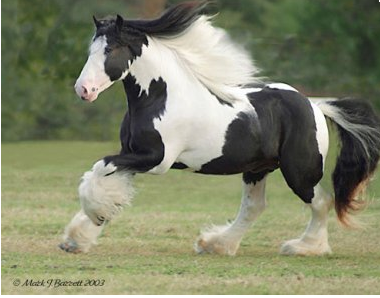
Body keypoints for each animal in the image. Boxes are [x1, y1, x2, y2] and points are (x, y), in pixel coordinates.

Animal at [58, 1, 380, 255]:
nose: (83, 90)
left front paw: (90, 221)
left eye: (111, 49)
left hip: (299, 172)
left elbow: (100, 168)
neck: (161, 96)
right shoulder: (132, 154)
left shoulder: (156, 160)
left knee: (321, 202)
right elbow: (110, 183)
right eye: (91, 49)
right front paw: (78, 238)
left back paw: (304, 247)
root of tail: (315, 105)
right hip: (257, 168)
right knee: (254, 208)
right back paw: (216, 245)